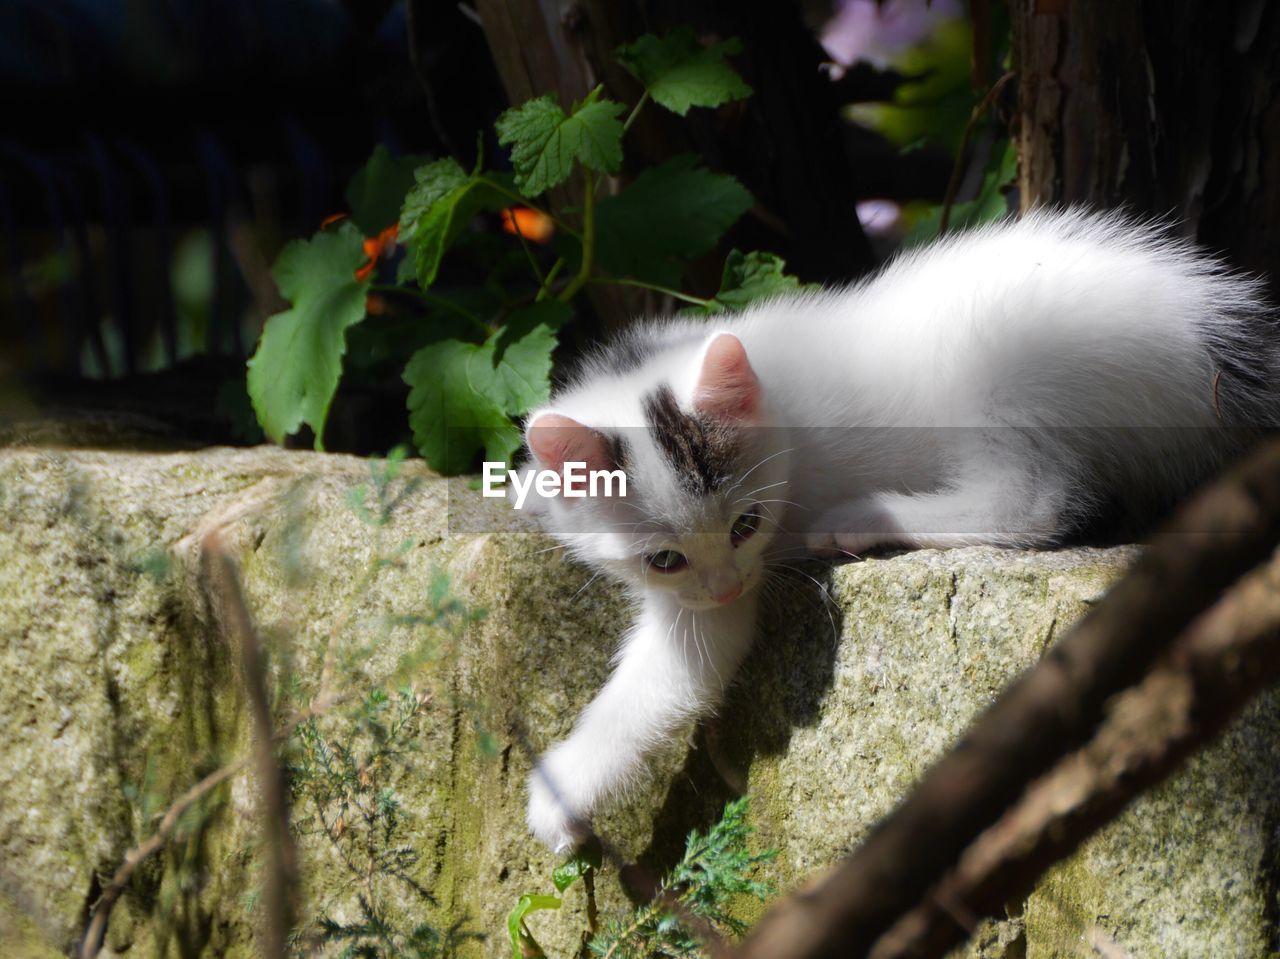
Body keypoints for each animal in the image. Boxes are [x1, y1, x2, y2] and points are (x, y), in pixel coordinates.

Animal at [514, 211, 1274, 855]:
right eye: (664, 558)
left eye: (746, 525)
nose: (727, 583)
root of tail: (1197, 325)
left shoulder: (732, 592)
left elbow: (670, 676)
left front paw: (560, 793)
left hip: (1004, 358)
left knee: (1034, 498)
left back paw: (865, 517)